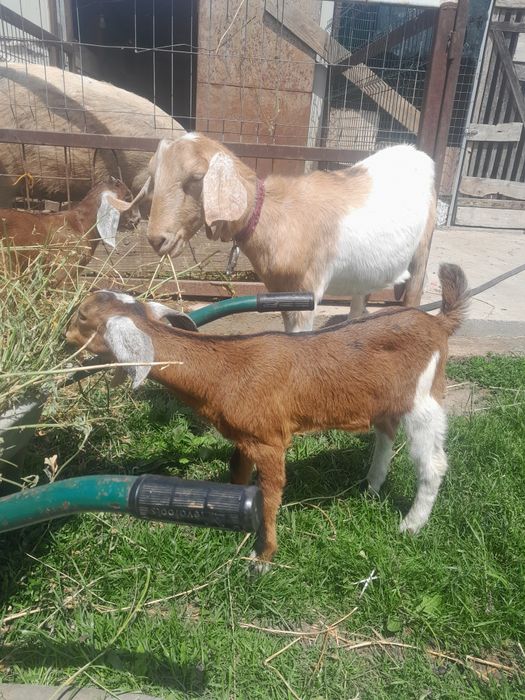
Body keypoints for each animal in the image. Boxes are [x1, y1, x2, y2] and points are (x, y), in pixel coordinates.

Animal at [66, 263, 469, 568]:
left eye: (82, 316)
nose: (62, 336)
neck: (224, 371)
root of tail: (438, 323)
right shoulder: (245, 437)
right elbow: (237, 474)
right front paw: (237, 526)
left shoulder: (270, 440)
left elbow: (270, 494)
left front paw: (263, 558)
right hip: (388, 399)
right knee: (386, 432)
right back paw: (370, 487)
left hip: (424, 395)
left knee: (433, 463)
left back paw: (411, 525)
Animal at [120, 133, 436, 331]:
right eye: (154, 177)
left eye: (197, 177)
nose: (157, 239)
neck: (273, 216)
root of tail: (417, 154)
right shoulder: (283, 292)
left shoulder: (305, 294)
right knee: (361, 300)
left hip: (423, 249)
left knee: (414, 296)